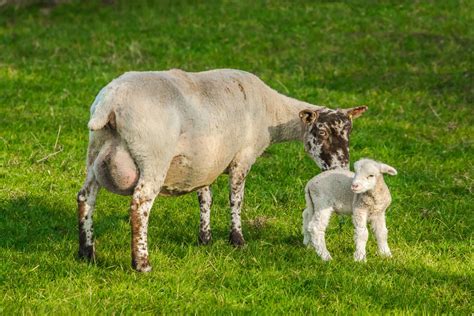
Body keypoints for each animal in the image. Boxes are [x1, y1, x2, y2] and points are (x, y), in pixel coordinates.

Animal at [77, 69, 366, 272]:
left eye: (348, 133)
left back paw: (86, 254)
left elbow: (205, 198)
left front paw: (205, 238)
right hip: (152, 158)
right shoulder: (242, 157)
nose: (341, 167)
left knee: (85, 197)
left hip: (95, 152)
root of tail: (111, 102)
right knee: (139, 206)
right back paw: (142, 263)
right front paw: (237, 239)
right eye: (322, 132)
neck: (270, 111)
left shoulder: (205, 161)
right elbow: (236, 199)